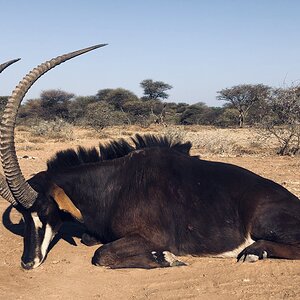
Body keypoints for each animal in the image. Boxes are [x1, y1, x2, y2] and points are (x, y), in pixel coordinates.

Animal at [0, 45, 300, 270]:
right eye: (22, 216)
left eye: (44, 210)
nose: (28, 262)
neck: (112, 186)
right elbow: (89, 240)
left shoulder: (153, 236)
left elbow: (101, 255)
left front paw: (167, 257)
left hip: (263, 222)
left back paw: (254, 251)